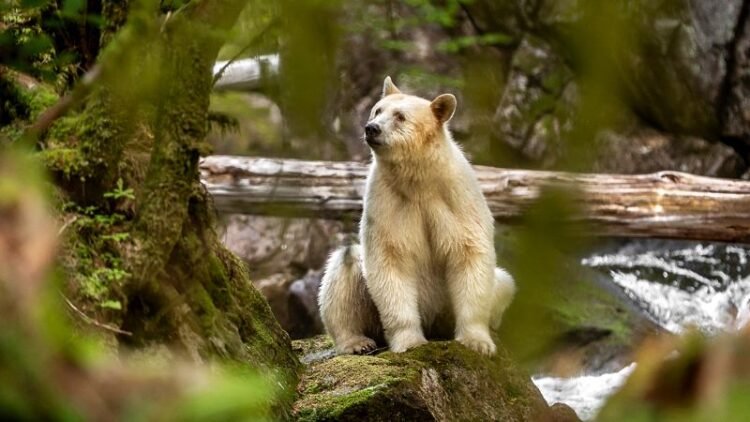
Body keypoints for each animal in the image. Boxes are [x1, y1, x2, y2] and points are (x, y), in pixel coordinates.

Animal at [318, 77, 516, 356]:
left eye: (400, 116)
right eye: (377, 110)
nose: (371, 128)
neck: (419, 180)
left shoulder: (456, 197)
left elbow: (468, 252)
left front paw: (477, 342)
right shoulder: (387, 200)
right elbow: (390, 257)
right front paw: (410, 342)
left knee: (504, 283)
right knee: (345, 268)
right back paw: (357, 342)